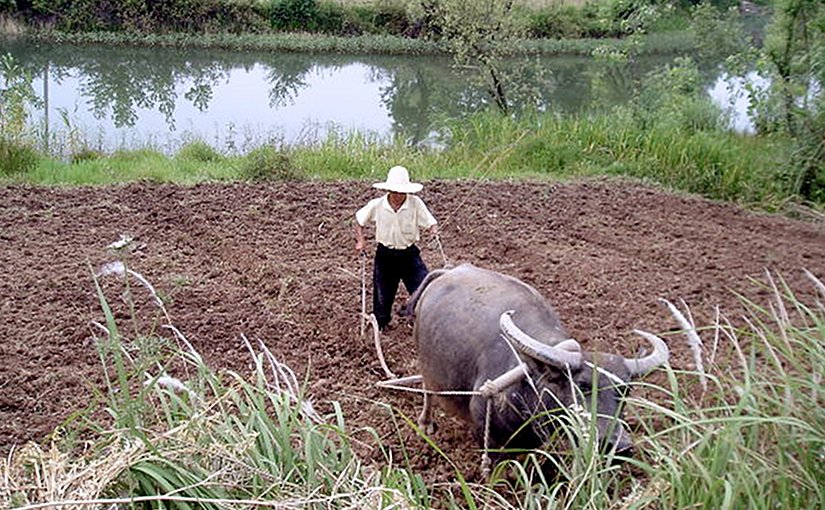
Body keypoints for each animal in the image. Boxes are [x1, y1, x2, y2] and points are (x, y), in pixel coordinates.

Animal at [408, 264, 668, 456]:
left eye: (625, 391)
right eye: (583, 386)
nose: (618, 446)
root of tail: (448, 271)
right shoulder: (487, 434)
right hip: (426, 366)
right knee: (427, 391)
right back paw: (426, 423)